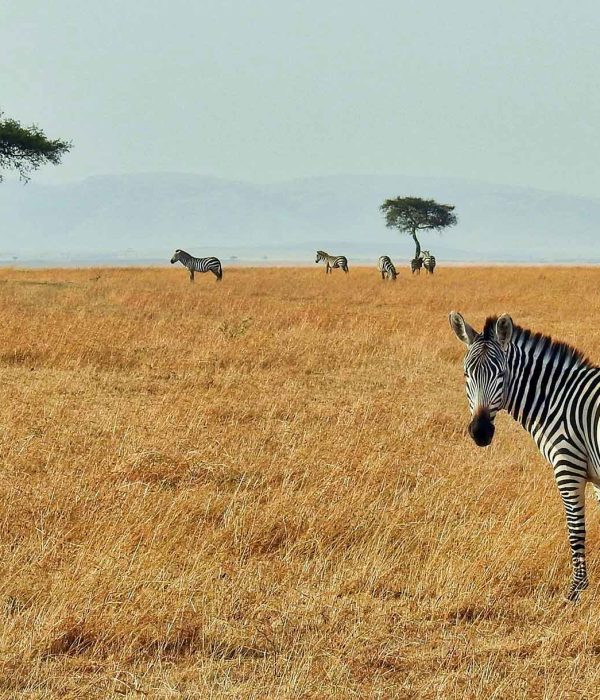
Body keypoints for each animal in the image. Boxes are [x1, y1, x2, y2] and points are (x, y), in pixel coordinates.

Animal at [448, 312, 600, 600]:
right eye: (466, 374)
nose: (480, 432)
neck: (557, 400)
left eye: (501, 374)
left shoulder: (568, 466)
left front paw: (576, 590)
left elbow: (575, 530)